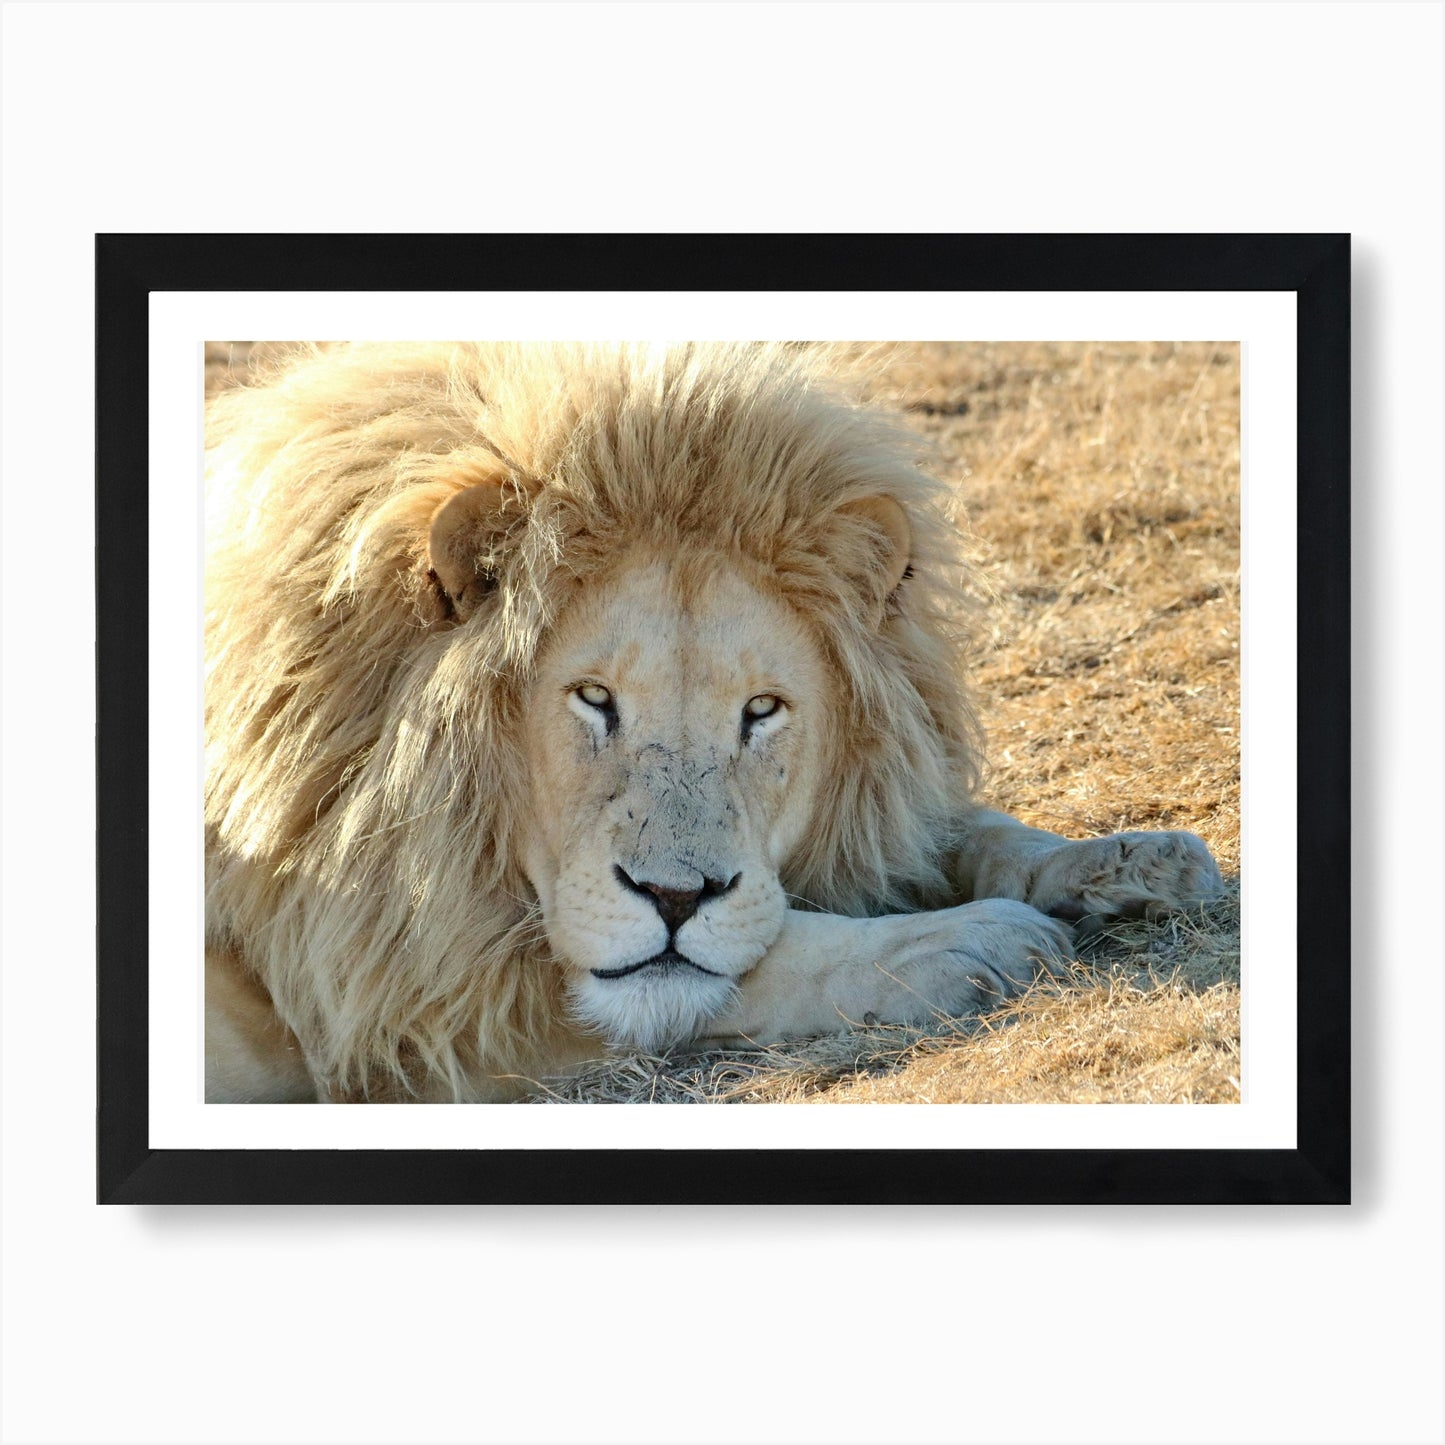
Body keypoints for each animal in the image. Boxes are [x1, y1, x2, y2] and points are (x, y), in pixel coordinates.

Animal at [204, 341, 1222, 1103]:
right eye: (593, 698)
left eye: (760, 711)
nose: (673, 897)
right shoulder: (406, 1001)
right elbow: (738, 965)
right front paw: (967, 939)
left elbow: (962, 829)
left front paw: (1133, 863)